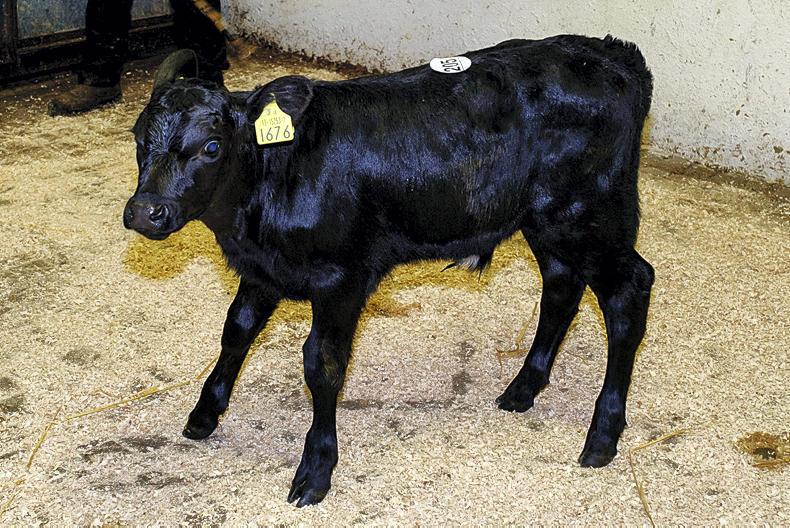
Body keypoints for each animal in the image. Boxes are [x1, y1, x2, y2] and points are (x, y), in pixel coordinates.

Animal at [124, 35, 654, 506]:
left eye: (211, 146)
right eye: (137, 137)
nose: (146, 211)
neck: (274, 175)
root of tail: (610, 52)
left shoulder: (341, 278)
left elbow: (322, 365)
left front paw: (316, 469)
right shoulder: (263, 269)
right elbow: (236, 331)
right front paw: (204, 413)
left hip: (588, 216)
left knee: (629, 289)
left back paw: (603, 434)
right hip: (546, 223)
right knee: (562, 287)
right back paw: (523, 388)